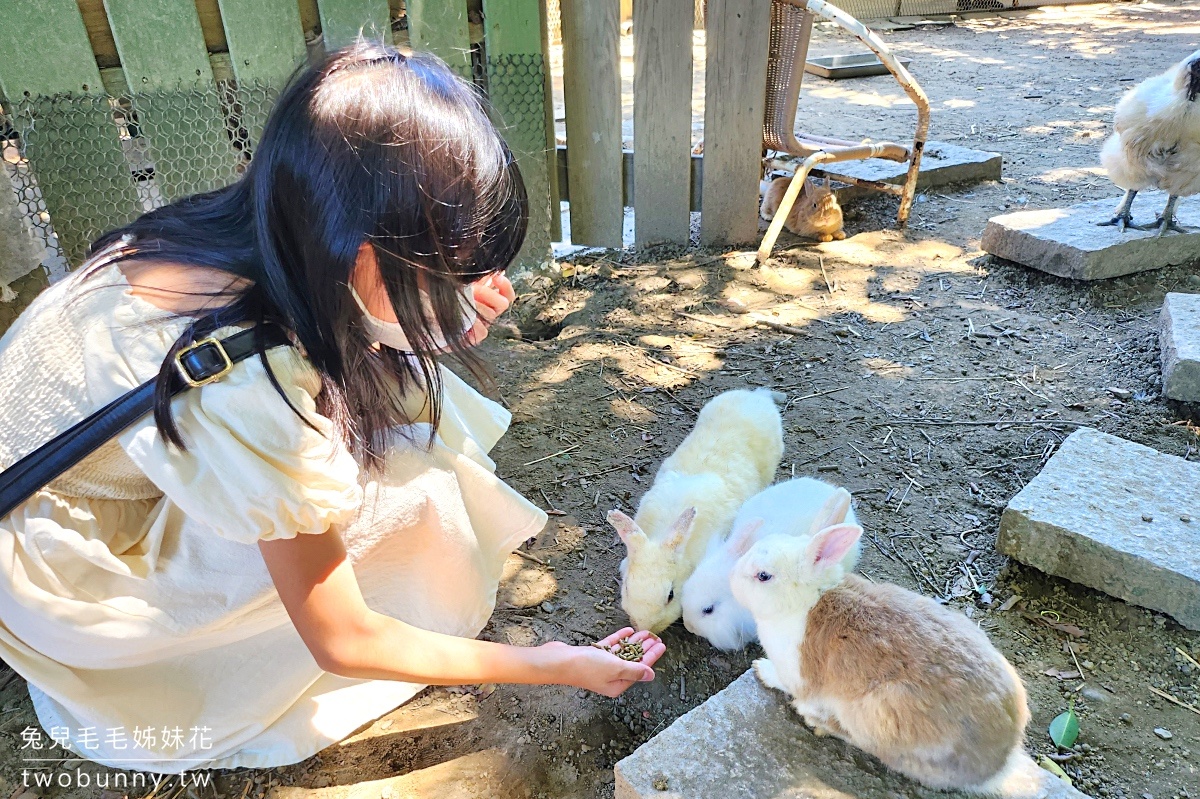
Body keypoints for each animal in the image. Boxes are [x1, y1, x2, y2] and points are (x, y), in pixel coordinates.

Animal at [729, 523, 1032, 791]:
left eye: (763, 576)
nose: (731, 578)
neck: (805, 600)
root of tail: (997, 766)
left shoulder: (795, 674)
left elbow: (784, 681)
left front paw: (761, 669)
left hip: (877, 715)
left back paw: (816, 721)